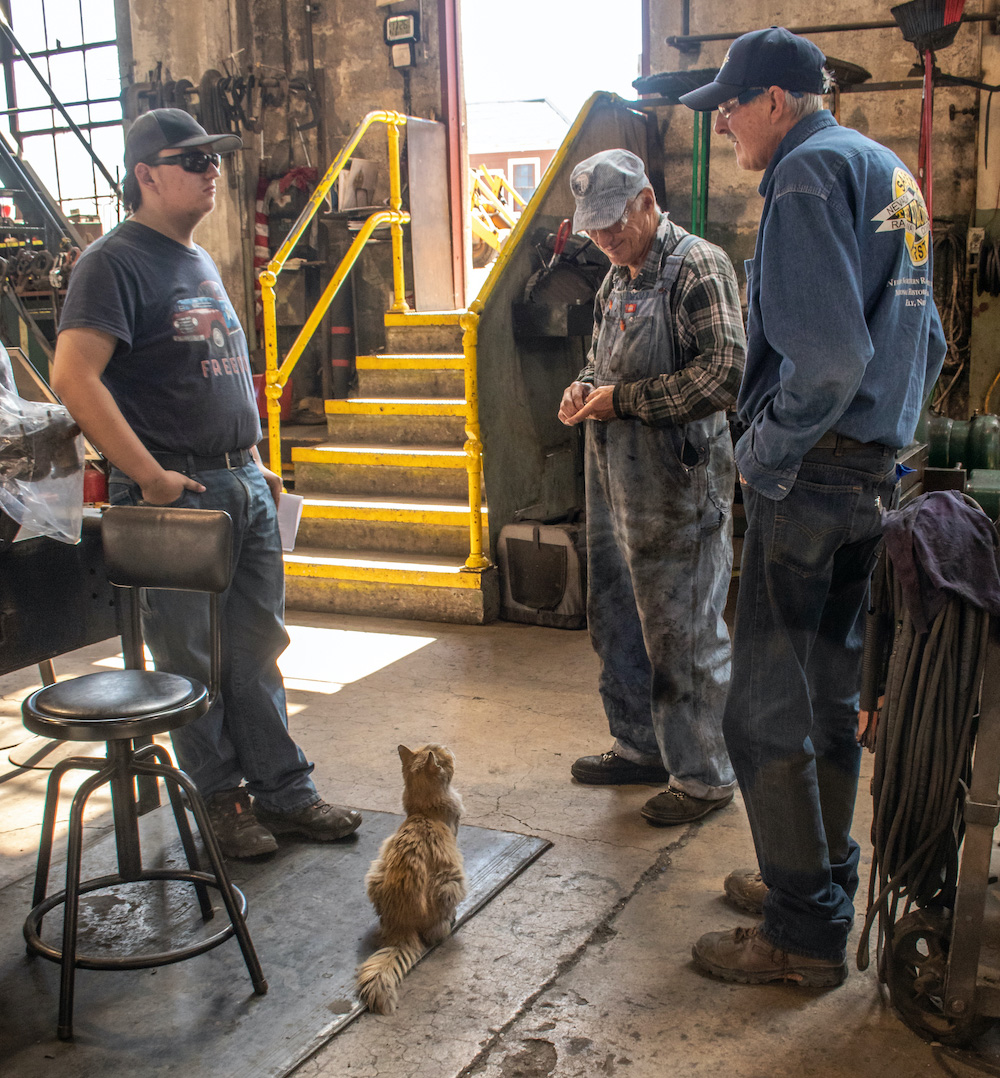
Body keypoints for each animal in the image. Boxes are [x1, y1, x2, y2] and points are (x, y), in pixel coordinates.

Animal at [355, 745, 465, 1013]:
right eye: (444, 752)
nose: (450, 747)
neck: (423, 813)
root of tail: (402, 926)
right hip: (452, 882)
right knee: (436, 932)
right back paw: (451, 920)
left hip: (374, 873)